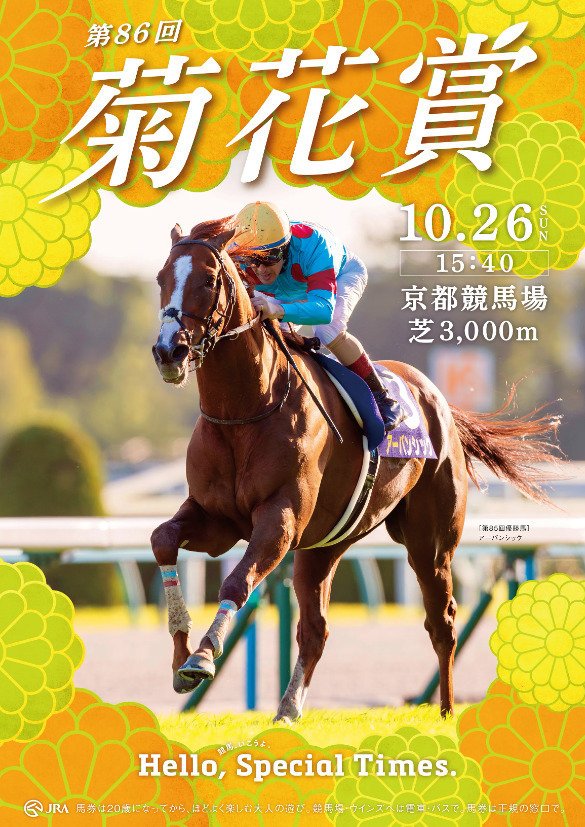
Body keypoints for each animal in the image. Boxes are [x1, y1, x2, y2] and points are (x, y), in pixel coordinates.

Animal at [151, 217, 559, 720]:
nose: (168, 351)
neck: (247, 409)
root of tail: (438, 399)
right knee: (316, 629)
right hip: (325, 545)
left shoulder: (280, 519)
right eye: (161, 279)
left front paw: (203, 655)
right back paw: (287, 710)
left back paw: (445, 712)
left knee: (441, 621)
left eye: (208, 280)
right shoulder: (218, 519)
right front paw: (179, 652)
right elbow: (163, 539)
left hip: (429, 540)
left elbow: (237, 579)